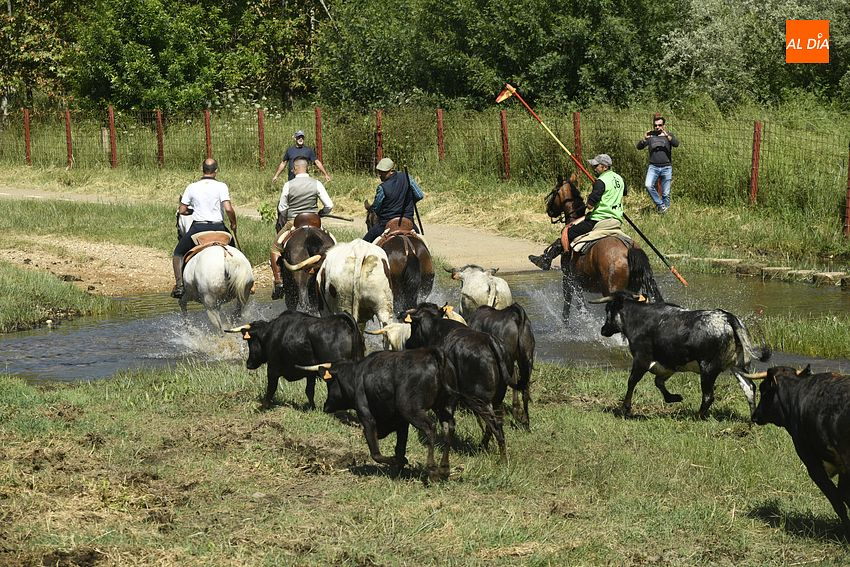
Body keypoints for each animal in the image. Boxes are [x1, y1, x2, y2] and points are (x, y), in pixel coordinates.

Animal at [544, 174, 663, 323]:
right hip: (633, 290)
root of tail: (629, 249)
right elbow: (580, 306)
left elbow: (569, 305)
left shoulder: (569, 279)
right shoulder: (578, 283)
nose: (548, 210)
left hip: (612, 291)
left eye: (554, 191)